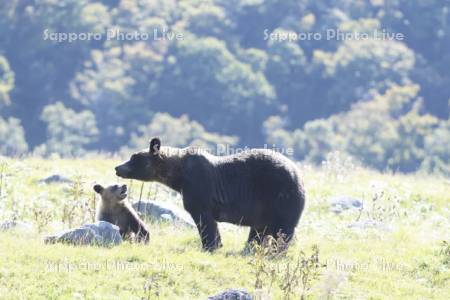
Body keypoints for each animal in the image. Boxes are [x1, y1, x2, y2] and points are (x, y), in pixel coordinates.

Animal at [116, 138, 306, 251]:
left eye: (133, 158)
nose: (117, 168)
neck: (178, 176)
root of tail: (299, 174)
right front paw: (217, 244)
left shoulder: (198, 187)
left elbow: (204, 219)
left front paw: (210, 245)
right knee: (259, 229)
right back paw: (250, 247)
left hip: (280, 195)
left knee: (283, 227)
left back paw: (277, 250)